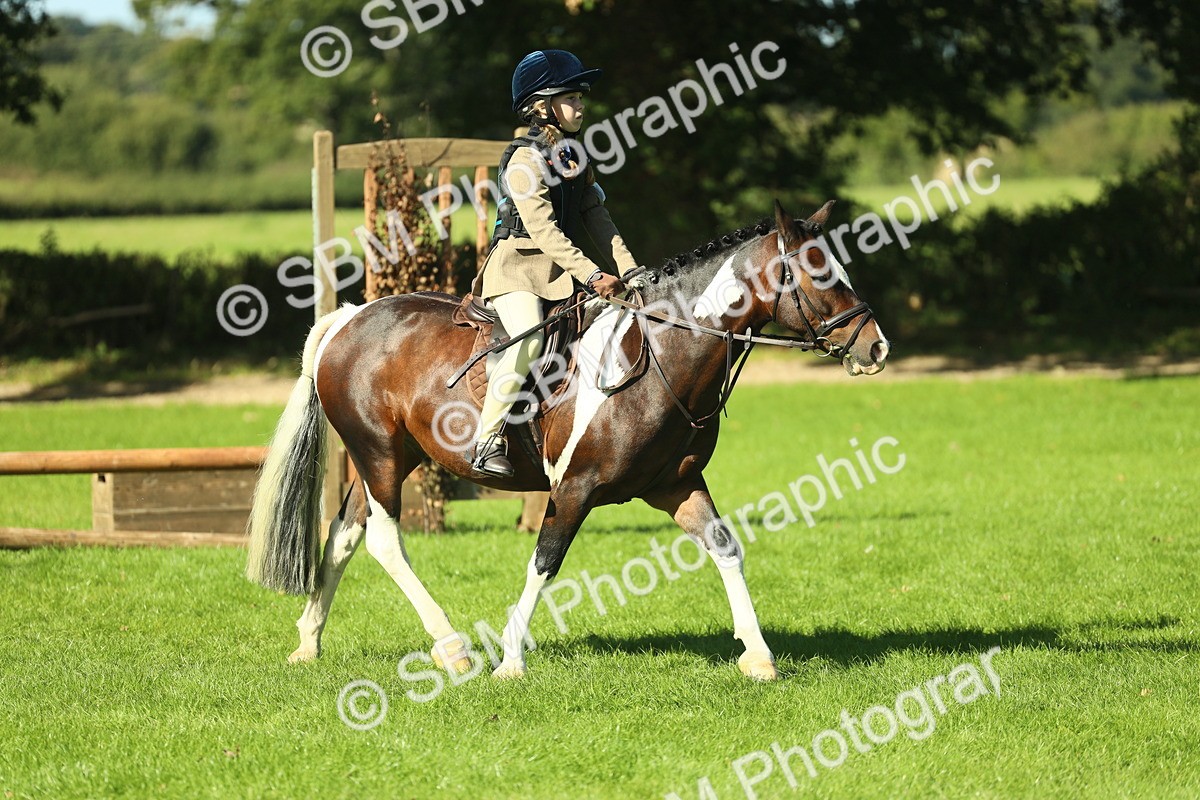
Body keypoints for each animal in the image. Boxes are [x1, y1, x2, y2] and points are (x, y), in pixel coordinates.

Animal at [245, 200, 890, 681]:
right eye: (819, 273)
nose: (875, 346)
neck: (660, 358)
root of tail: (350, 317)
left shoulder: (677, 485)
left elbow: (725, 546)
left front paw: (757, 655)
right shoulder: (574, 488)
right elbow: (545, 562)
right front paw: (509, 660)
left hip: (392, 457)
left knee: (344, 534)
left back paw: (309, 642)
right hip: (378, 453)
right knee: (383, 538)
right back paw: (452, 648)